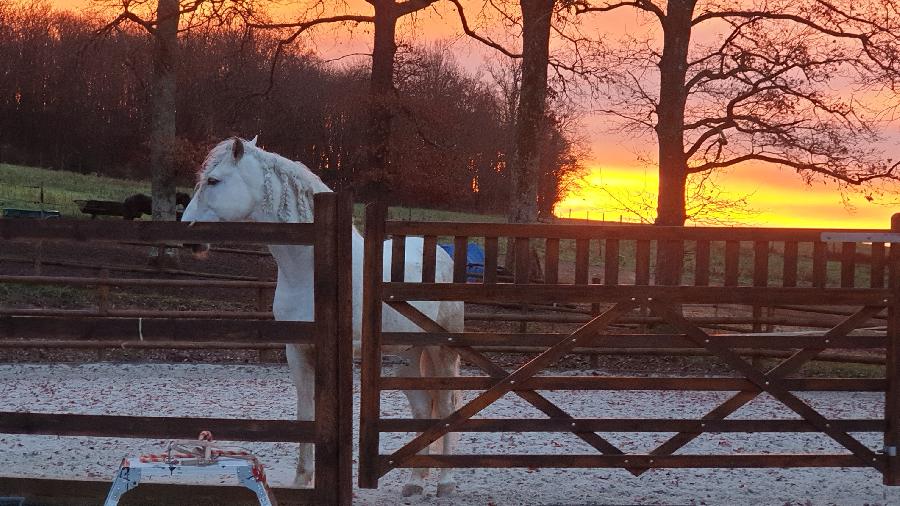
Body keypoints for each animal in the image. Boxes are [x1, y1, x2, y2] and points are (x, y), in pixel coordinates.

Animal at [183, 136, 464, 496]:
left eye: (213, 181)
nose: (188, 236)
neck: (313, 270)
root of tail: (442, 254)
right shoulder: (298, 352)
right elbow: (307, 414)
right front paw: (302, 480)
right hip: (409, 356)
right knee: (421, 408)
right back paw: (415, 482)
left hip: (441, 350)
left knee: (446, 405)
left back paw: (446, 482)